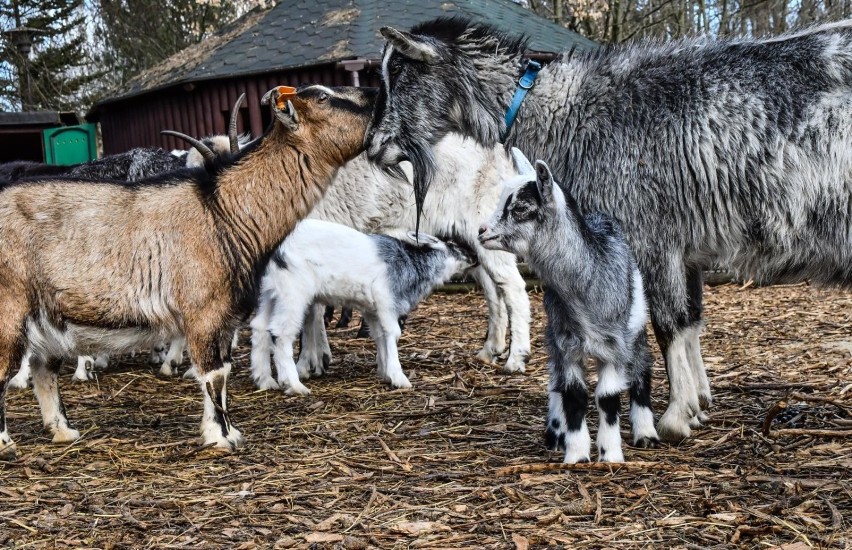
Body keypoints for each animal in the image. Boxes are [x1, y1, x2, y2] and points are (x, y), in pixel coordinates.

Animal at [0, 83, 376, 462]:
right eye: (323, 97)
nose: (375, 99)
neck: (223, 209)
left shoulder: (223, 319)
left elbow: (223, 371)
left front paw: (224, 431)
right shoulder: (204, 312)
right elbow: (213, 374)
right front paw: (221, 438)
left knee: (44, 369)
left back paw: (63, 431)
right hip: (10, 308)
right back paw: (6, 444)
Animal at [250, 220, 476, 396]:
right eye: (452, 244)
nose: (474, 256)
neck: (410, 263)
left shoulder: (372, 310)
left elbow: (380, 335)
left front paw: (385, 372)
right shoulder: (386, 301)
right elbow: (392, 333)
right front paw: (399, 377)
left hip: (270, 292)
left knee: (259, 327)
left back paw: (265, 381)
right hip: (292, 293)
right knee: (281, 333)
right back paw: (294, 385)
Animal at [480, 149, 660, 464]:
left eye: (521, 208)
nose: (482, 231)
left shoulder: (614, 344)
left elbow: (607, 397)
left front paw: (610, 455)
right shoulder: (566, 341)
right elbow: (573, 394)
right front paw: (576, 455)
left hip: (636, 328)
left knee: (641, 368)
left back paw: (646, 432)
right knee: (555, 379)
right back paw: (555, 432)